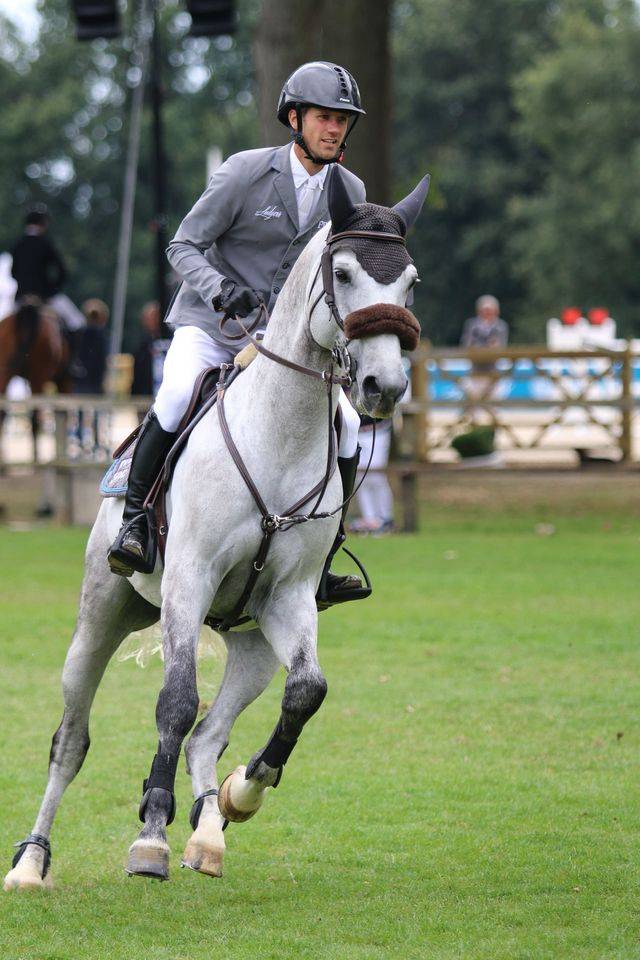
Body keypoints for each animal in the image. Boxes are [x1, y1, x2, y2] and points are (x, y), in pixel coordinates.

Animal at [3, 167, 429, 891]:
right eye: (343, 273)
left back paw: (209, 830)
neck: (278, 434)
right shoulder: (189, 578)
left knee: (210, 733)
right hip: (102, 615)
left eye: (409, 281)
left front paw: (243, 792)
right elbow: (174, 702)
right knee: (72, 739)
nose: (384, 386)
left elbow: (306, 691)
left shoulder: (289, 598)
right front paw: (150, 835)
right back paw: (32, 861)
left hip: (252, 640)